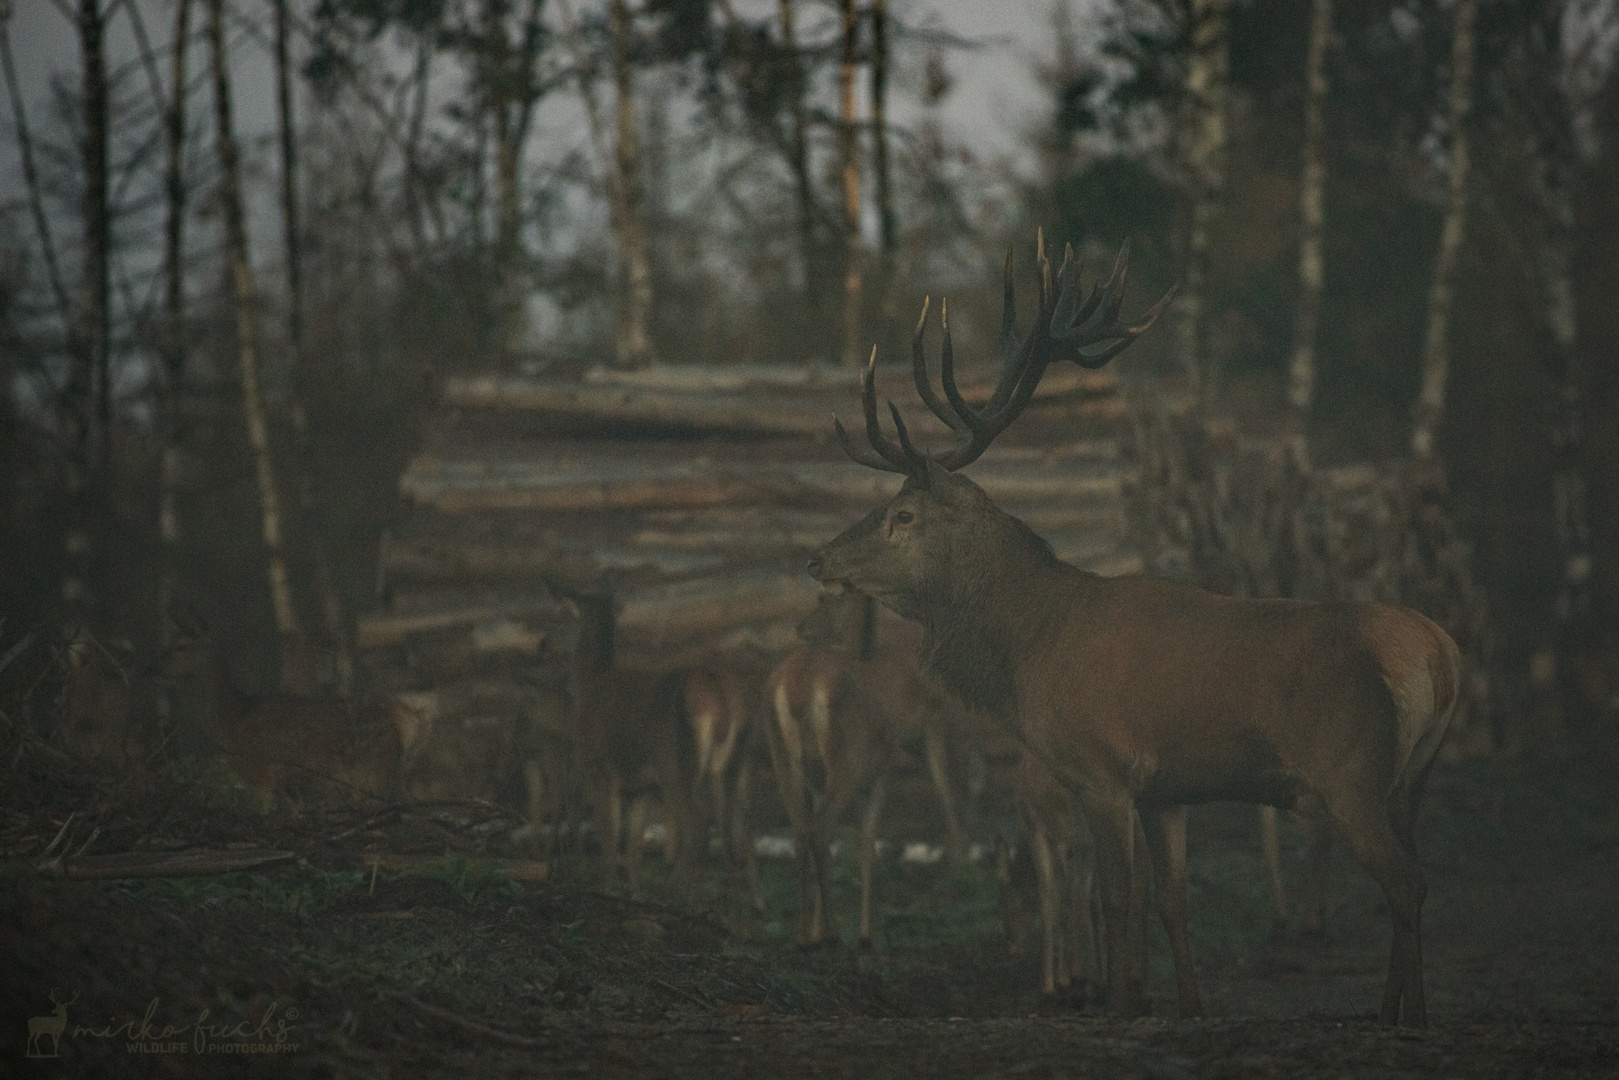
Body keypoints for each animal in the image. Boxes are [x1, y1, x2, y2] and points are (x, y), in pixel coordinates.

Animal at [809, 236, 1457, 1023]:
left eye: (902, 516)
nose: (817, 559)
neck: (1031, 649)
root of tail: (1440, 653)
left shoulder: (1101, 770)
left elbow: (1116, 898)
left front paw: (1118, 1002)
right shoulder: (1164, 790)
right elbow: (1170, 900)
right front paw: (1188, 1004)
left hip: (1350, 771)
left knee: (1408, 883)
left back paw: (1407, 1013)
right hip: (1412, 778)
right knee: (1412, 873)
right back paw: (1393, 1006)